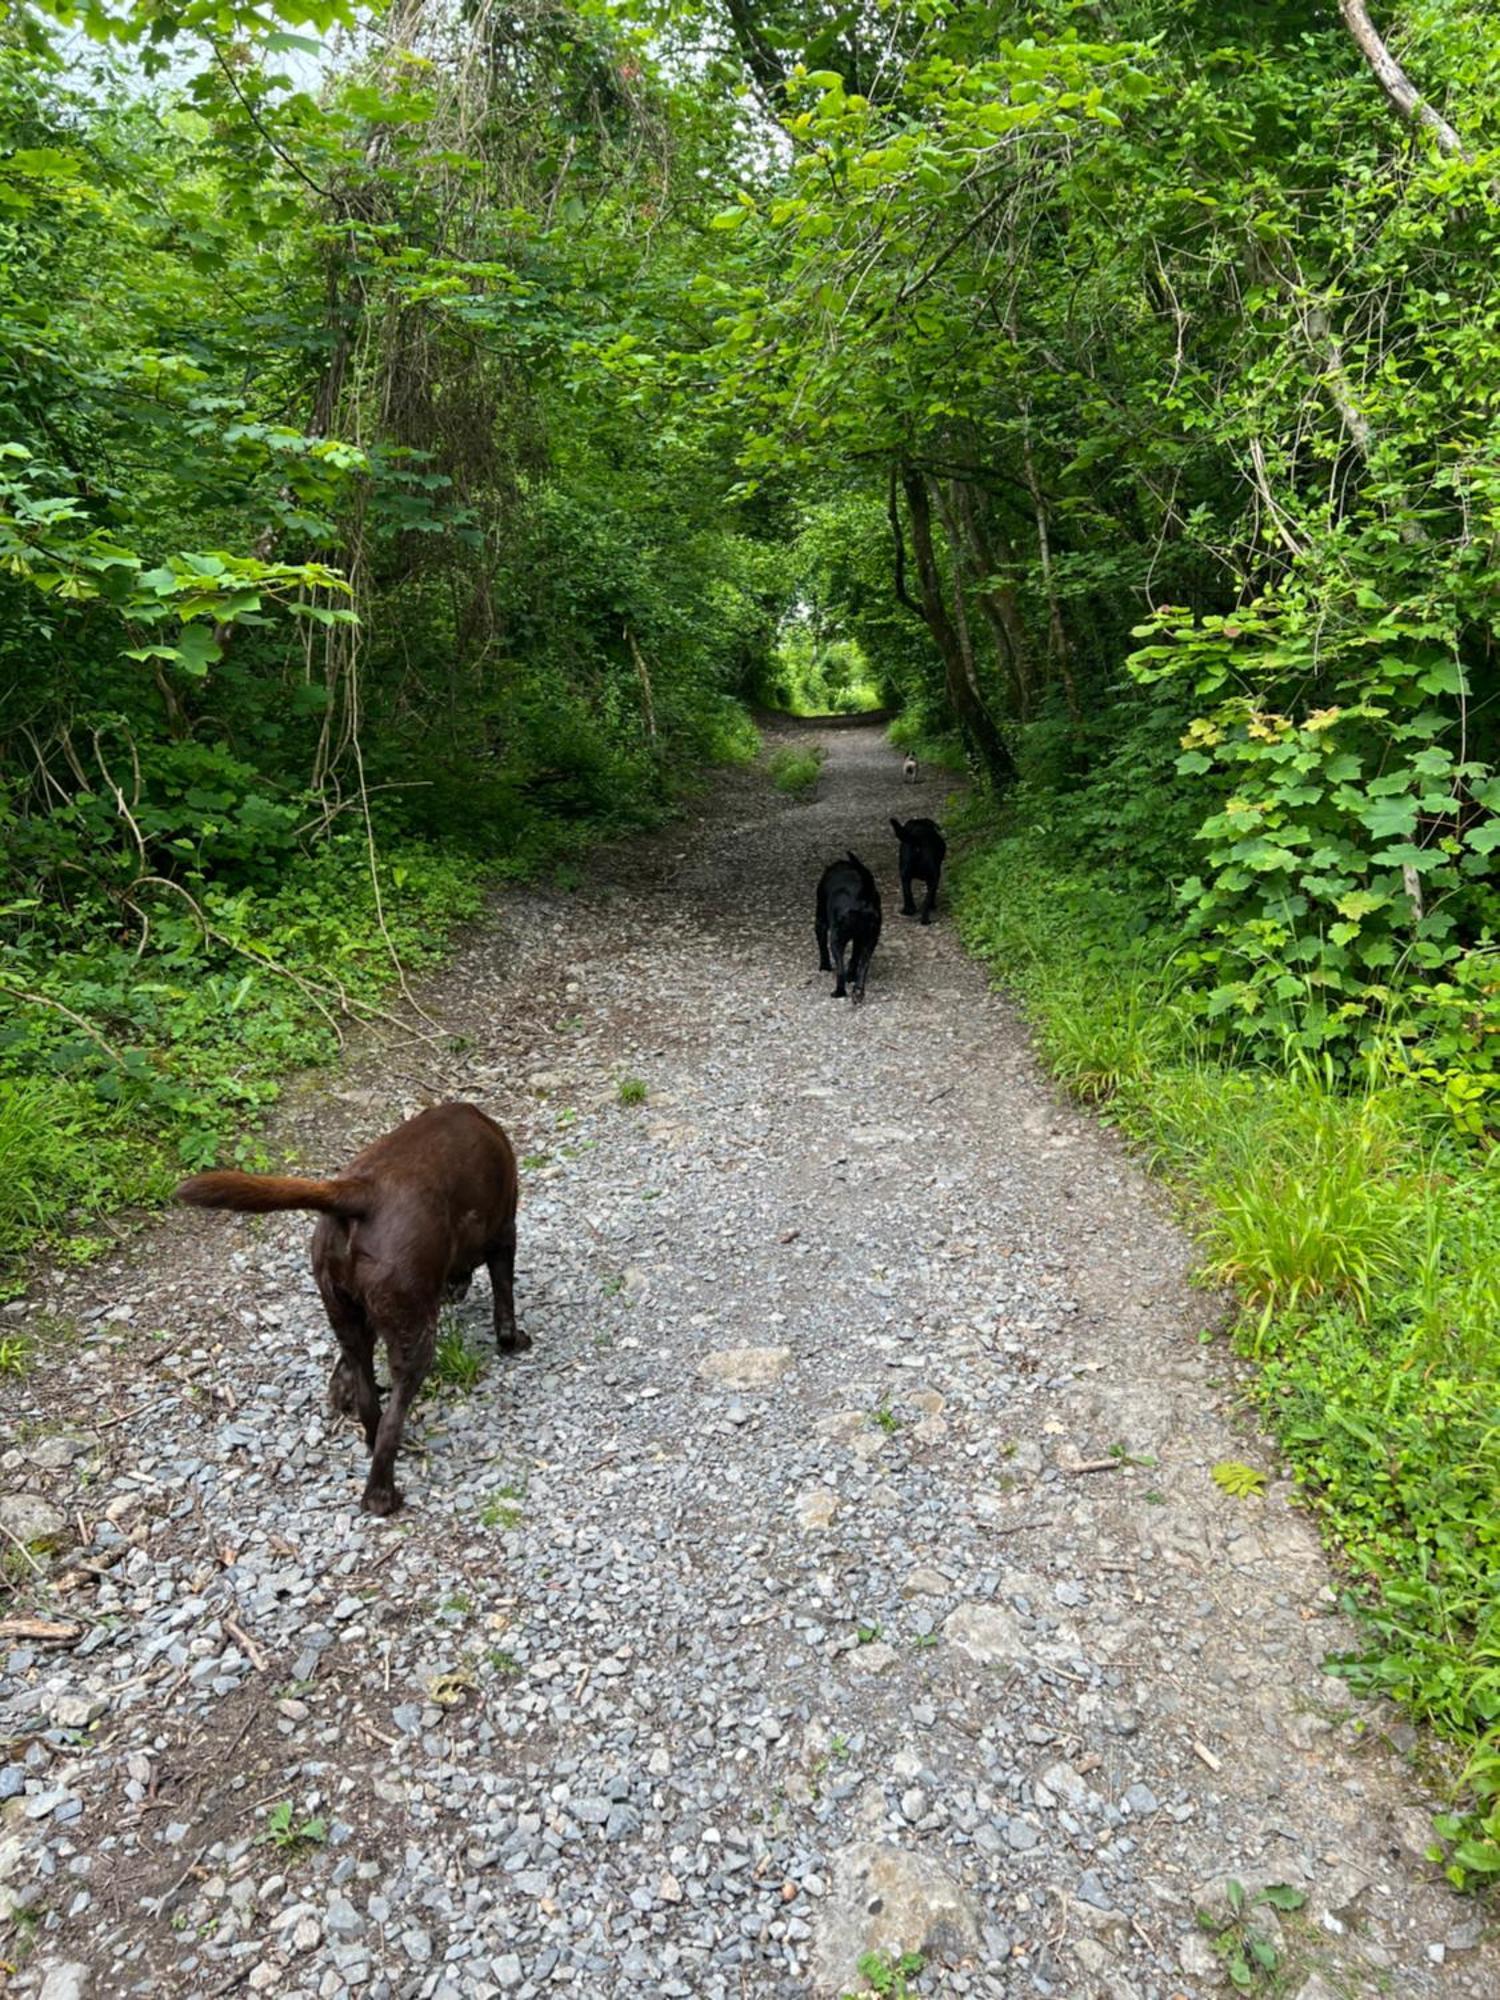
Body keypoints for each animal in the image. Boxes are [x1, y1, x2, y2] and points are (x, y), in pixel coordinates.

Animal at [178, 1104, 524, 1504]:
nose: (455, 1289)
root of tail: (362, 1193)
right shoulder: (503, 1233)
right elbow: (505, 1305)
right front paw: (514, 1342)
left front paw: (338, 1387)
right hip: (413, 1331)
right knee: (392, 1417)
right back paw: (382, 1496)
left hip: (344, 1308)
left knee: (367, 1394)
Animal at [824, 848, 880, 1000]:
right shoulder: (860, 939)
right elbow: (855, 958)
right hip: (870, 941)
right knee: (863, 967)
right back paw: (857, 992)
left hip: (836, 940)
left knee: (840, 970)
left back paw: (839, 991)